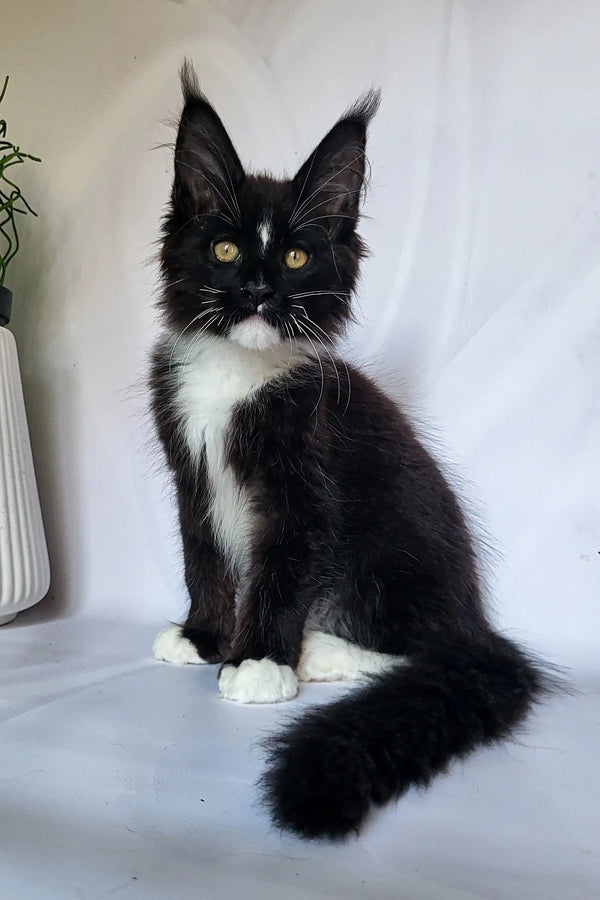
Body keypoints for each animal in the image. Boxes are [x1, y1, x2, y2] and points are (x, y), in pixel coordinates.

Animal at [149, 61, 548, 836]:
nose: (258, 289)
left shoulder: (305, 483)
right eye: (225, 249)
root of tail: (478, 622)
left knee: (423, 650)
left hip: (386, 544)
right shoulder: (191, 473)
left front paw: (256, 661)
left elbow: (277, 573)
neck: (235, 378)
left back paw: (316, 651)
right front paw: (205, 636)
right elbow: (204, 557)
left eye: (296, 255)